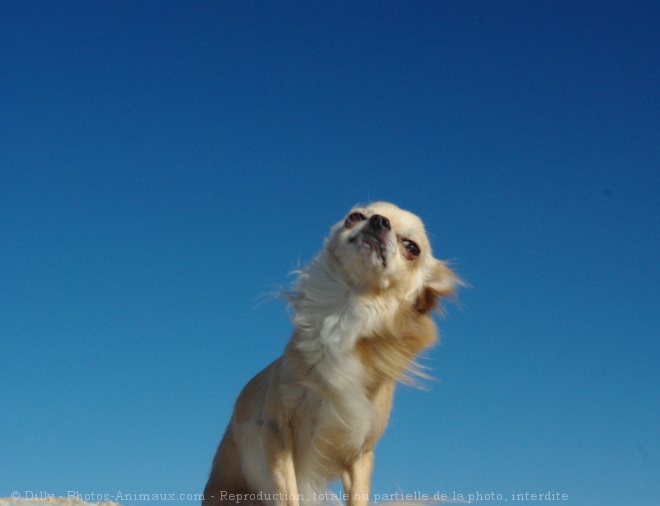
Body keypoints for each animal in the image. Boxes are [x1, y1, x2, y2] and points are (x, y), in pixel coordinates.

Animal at [205, 202, 458, 506]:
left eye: (412, 247)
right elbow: (288, 497)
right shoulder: (274, 431)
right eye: (355, 216)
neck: (347, 311)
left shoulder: (360, 455)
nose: (379, 221)